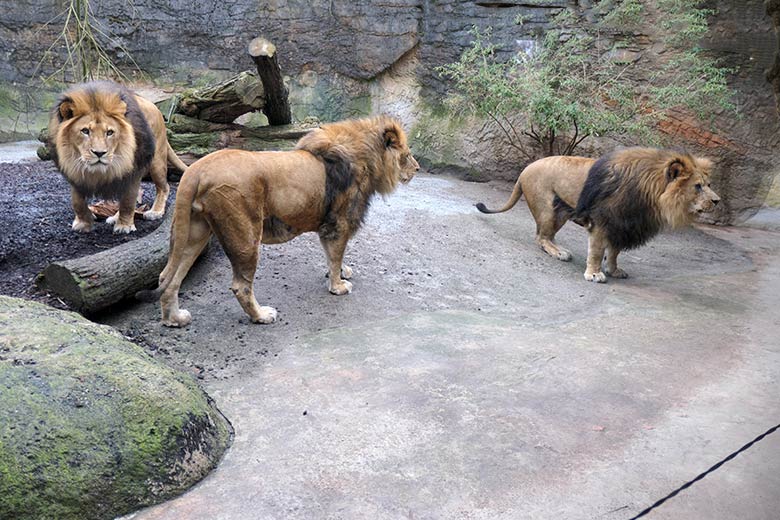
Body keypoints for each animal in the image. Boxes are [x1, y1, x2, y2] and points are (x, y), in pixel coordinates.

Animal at [49, 80, 188, 234]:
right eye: (85, 131)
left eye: (110, 132)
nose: (99, 153)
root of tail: (155, 107)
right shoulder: (73, 171)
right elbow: (77, 201)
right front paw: (83, 223)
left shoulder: (133, 170)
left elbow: (128, 201)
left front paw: (124, 226)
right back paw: (115, 217)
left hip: (156, 160)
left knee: (163, 187)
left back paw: (155, 211)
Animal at [139, 116, 420, 328]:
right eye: (407, 155)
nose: (417, 169)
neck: (368, 159)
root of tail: (196, 170)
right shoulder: (339, 223)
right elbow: (336, 254)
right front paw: (338, 286)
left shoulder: (328, 225)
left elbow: (332, 255)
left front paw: (341, 272)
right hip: (245, 235)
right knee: (241, 286)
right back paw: (262, 316)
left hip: (194, 232)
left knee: (169, 276)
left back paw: (174, 319)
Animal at [472, 146, 724, 282]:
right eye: (697, 187)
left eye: (709, 184)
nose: (717, 201)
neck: (649, 195)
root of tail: (524, 170)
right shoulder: (603, 222)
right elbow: (596, 251)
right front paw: (594, 274)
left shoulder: (622, 225)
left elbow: (614, 252)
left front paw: (613, 270)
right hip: (548, 208)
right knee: (541, 238)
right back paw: (558, 252)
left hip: (561, 211)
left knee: (546, 236)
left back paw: (560, 248)